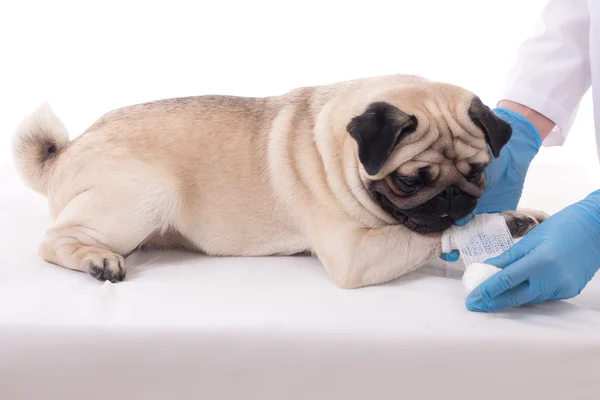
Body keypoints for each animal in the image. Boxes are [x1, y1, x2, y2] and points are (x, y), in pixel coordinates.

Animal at [11, 74, 548, 288]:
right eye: (409, 182)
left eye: (477, 171)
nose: (456, 197)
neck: (337, 149)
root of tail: (67, 151)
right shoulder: (354, 255)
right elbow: (426, 235)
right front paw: (495, 224)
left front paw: (523, 216)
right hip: (145, 195)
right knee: (55, 240)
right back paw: (96, 258)